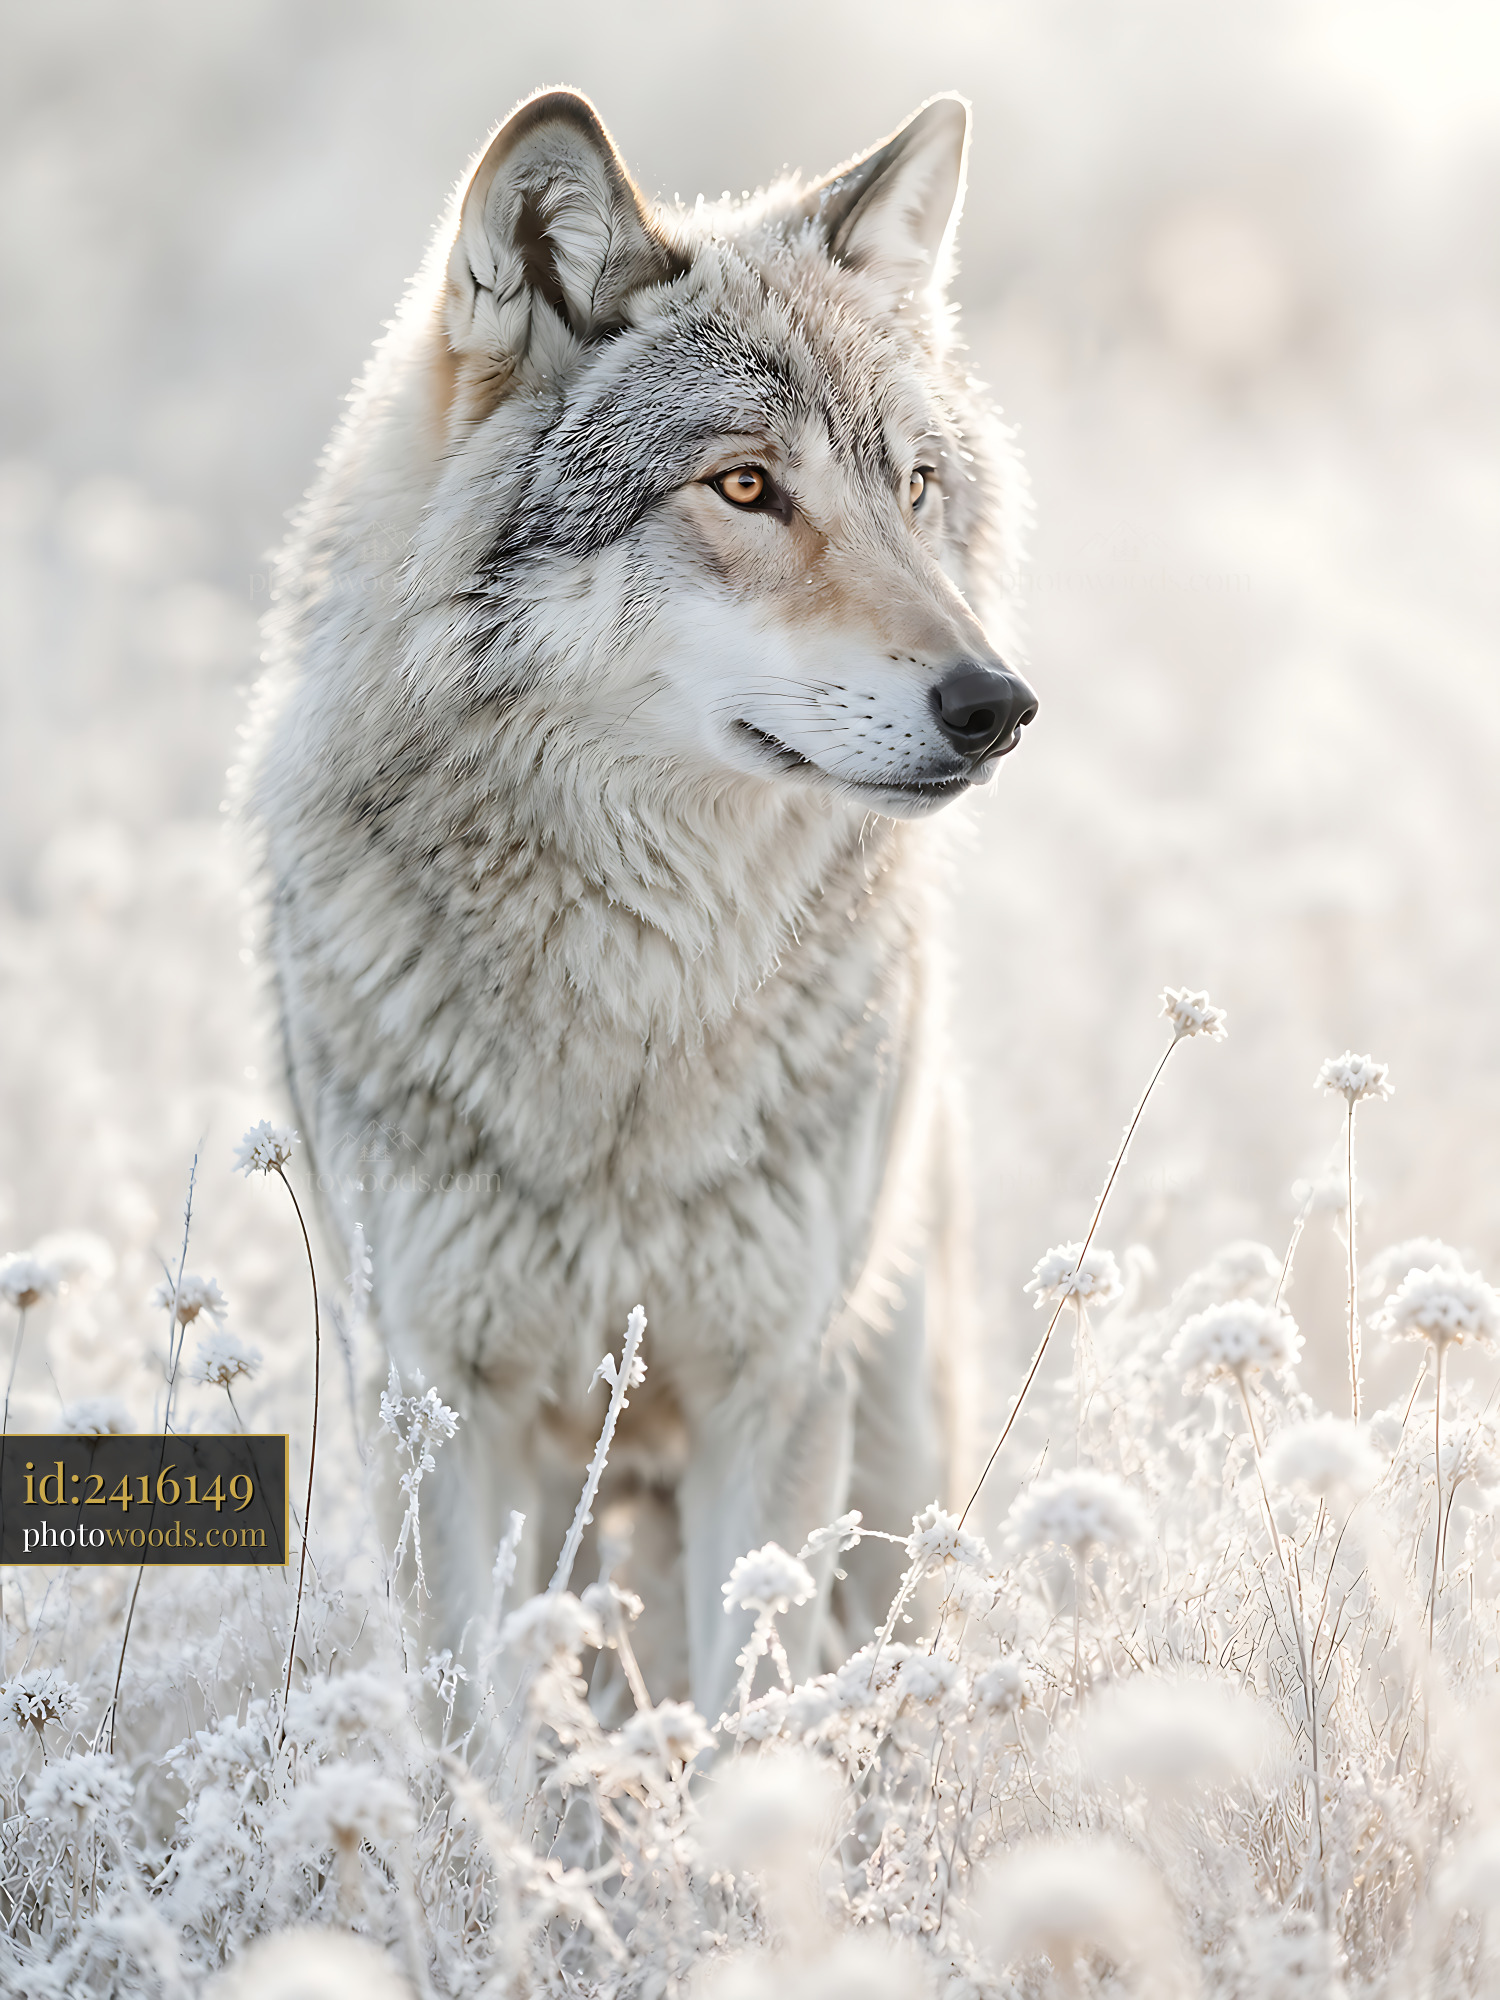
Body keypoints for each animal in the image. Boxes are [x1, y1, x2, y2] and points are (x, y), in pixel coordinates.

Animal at [248, 86, 1035, 1721]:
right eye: (744, 485)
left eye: (915, 486)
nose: (998, 705)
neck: (636, 997)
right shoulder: (438, 1407)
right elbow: (473, 1744)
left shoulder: (770, 1393)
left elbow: (752, 1725)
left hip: (890, 1430)